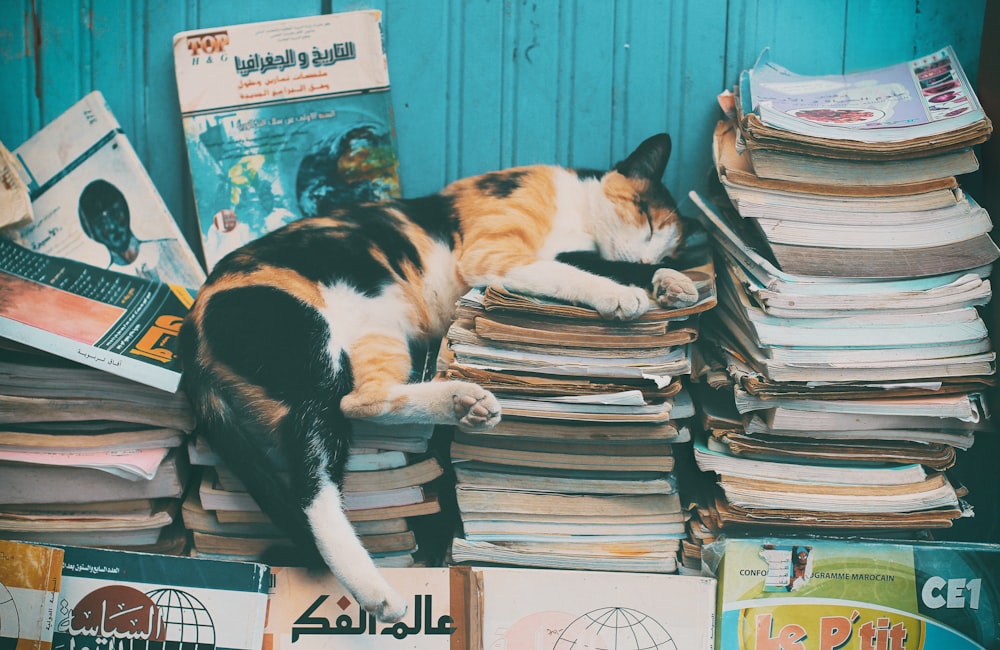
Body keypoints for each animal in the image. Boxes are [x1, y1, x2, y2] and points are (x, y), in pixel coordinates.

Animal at [178, 132, 696, 616]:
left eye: (665, 245)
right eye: (646, 218)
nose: (649, 261)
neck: (575, 211)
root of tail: (193, 331)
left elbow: (584, 260)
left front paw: (670, 282)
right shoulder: (493, 253)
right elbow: (572, 267)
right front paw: (622, 292)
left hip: (379, 334)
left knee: (363, 400)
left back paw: (463, 403)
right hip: (309, 346)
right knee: (313, 483)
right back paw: (377, 592)